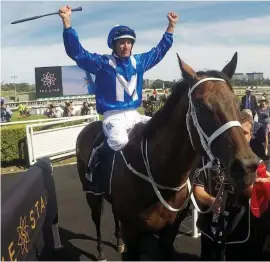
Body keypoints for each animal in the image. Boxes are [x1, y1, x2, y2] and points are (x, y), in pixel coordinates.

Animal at [76, 52, 260, 260]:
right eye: (200, 105)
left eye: (237, 103)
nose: (247, 166)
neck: (159, 175)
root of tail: (89, 126)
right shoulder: (132, 233)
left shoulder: (169, 231)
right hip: (91, 194)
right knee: (96, 219)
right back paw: (100, 251)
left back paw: (118, 243)